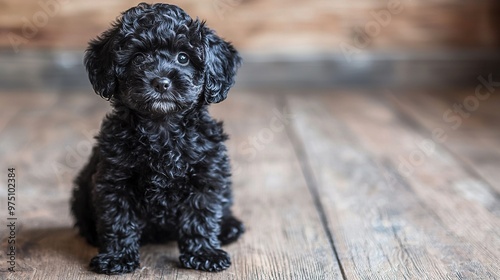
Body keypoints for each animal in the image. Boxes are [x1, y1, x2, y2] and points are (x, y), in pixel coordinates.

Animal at [71, 2, 244, 274]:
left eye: (183, 57)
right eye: (138, 58)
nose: (161, 82)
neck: (162, 127)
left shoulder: (207, 175)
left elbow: (201, 215)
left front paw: (204, 253)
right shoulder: (114, 180)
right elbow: (118, 219)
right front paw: (117, 257)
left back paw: (229, 227)